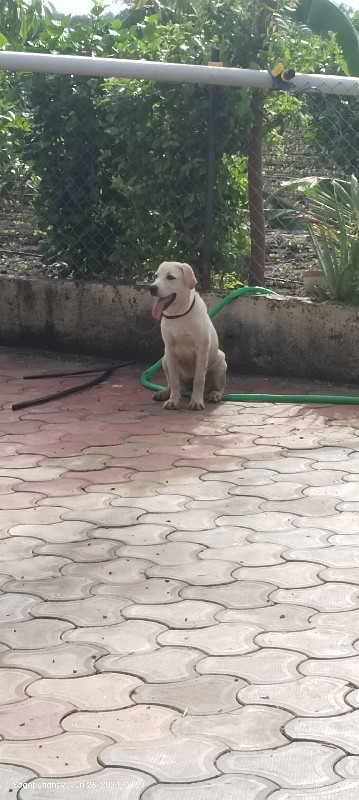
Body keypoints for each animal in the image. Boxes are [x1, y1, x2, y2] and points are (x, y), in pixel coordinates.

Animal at [150, 262, 226, 412]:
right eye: (156, 276)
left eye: (170, 277)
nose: (152, 288)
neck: (178, 313)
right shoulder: (170, 350)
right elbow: (174, 381)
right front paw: (173, 401)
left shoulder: (202, 349)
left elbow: (199, 379)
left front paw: (196, 401)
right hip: (164, 359)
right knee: (174, 385)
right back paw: (165, 393)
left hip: (221, 362)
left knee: (220, 387)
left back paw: (215, 394)